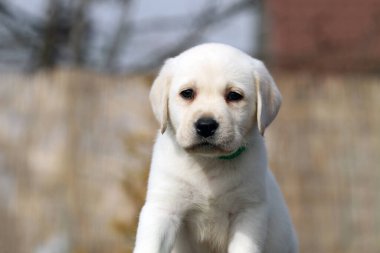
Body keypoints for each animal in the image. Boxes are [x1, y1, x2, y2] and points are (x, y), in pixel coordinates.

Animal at [134, 43, 296, 253]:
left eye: (234, 95)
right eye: (187, 93)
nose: (206, 125)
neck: (208, 162)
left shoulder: (249, 212)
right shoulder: (163, 208)